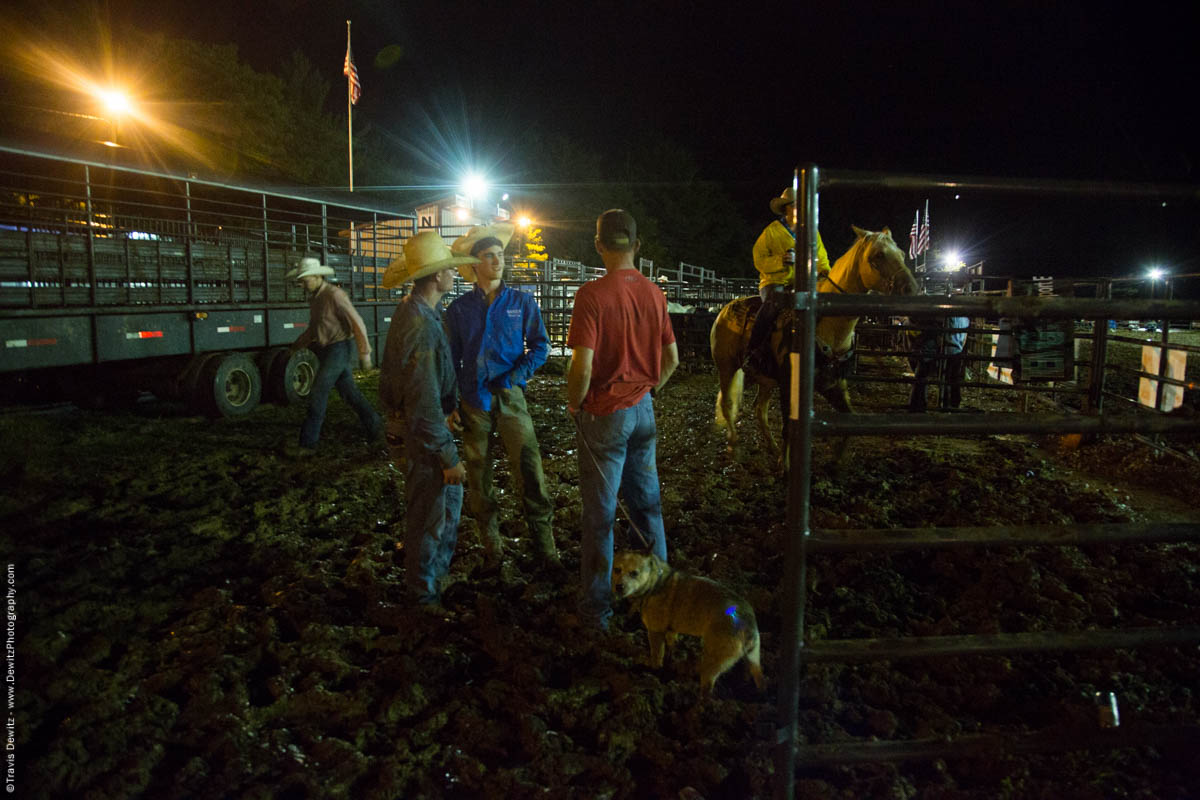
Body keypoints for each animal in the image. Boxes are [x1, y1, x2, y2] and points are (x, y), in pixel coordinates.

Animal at [614, 551, 763, 695]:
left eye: (634, 573)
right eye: (617, 569)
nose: (619, 587)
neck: (655, 581)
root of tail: (749, 624)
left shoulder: (655, 631)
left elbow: (656, 656)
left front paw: (654, 672)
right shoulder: (671, 630)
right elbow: (670, 648)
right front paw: (668, 666)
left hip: (712, 660)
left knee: (707, 690)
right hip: (753, 659)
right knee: (754, 675)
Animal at [710, 225, 916, 462]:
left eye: (902, 254)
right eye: (878, 255)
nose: (912, 289)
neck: (827, 326)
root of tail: (724, 310)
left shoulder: (834, 384)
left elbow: (850, 419)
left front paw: (836, 460)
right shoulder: (789, 384)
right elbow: (788, 428)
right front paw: (785, 465)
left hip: (766, 379)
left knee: (760, 410)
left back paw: (772, 447)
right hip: (726, 368)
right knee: (727, 405)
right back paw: (734, 447)